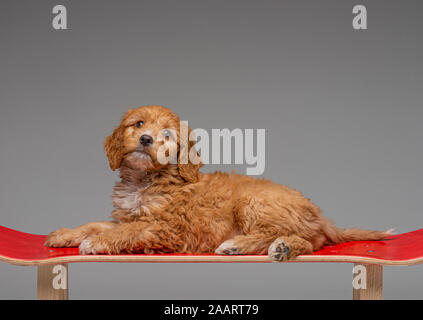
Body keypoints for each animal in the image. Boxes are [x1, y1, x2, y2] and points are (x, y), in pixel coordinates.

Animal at [46, 106, 390, 262]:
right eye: (138, 123)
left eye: (167, 135)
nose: (145, 139)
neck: (145, 180)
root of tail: (321, 216)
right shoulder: (130, 215)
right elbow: (98, 223)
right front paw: (66, 234)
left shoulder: (164, 226)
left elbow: (125, 232)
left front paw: (95, 243)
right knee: (310, 243)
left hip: (254, 203)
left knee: (293, 238)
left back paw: (247, 245)